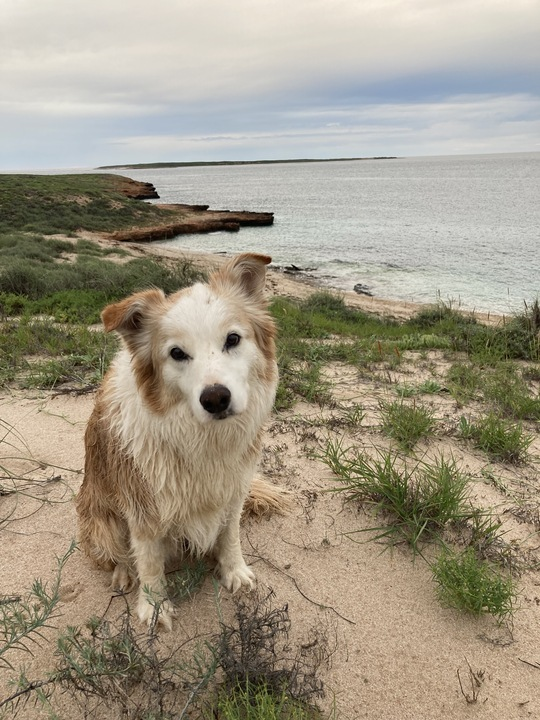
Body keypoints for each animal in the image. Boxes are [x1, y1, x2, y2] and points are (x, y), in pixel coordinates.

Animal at [77, 253, 284, 632]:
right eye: (176, 353)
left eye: (233, 339)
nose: (216, 399)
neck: (203, 438)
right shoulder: (142, 504)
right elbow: (148, 561)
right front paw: (153, 606)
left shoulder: (235, 488)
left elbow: (230, 534)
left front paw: (234, 570)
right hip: (102, 525)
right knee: (119, 555)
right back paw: (123, 574)